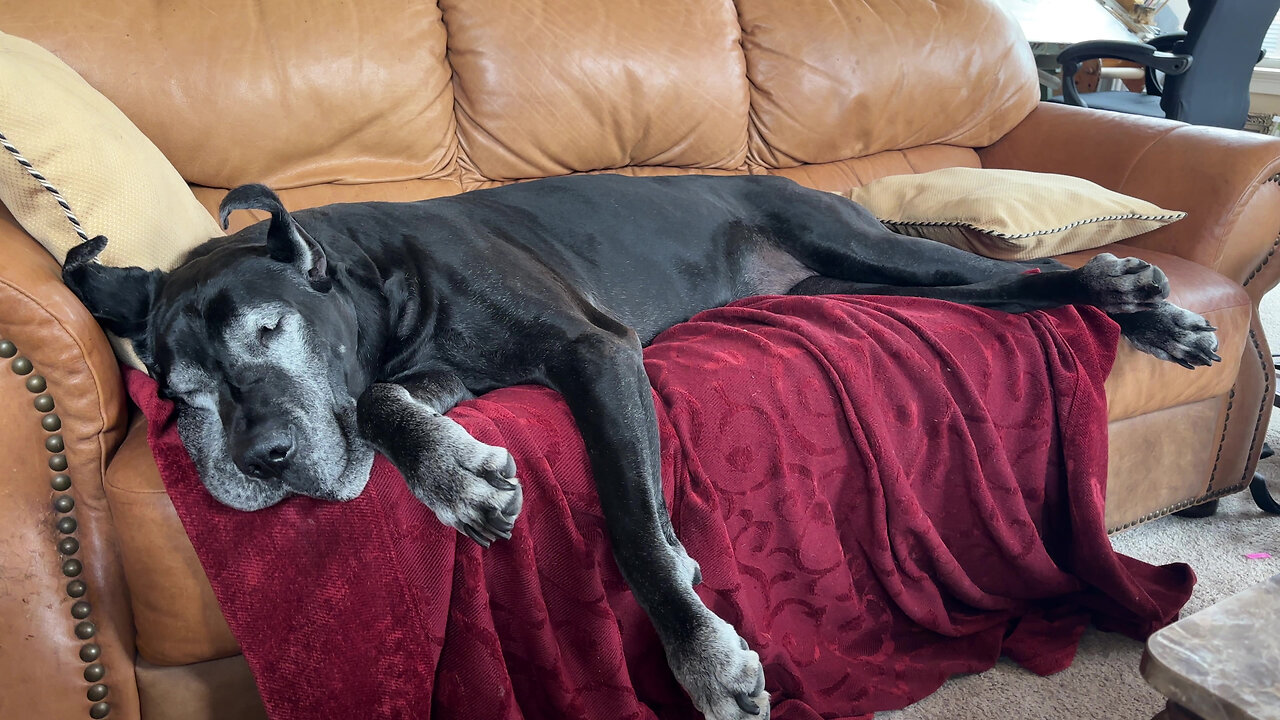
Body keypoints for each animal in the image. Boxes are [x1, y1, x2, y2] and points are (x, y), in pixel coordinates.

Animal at [62, 170, 1218, 712]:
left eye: (267, 329)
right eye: (179, 394)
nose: (258, 462)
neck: (375, 284)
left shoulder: (594, 351)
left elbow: (628, 522)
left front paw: (700, 652)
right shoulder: (429, 372)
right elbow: (385, 403)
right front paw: (459, 475)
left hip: (890, 259)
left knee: (1031, 276)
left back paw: (1140, 301)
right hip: (861, 284)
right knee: (1009, 294)